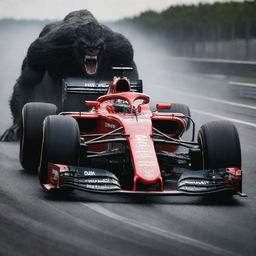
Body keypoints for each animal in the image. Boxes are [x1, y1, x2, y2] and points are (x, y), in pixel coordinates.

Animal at [1, 10, 138, 141]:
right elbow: (27, 82)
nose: (92, 50)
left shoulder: (122, 49)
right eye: (85, 45)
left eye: (98, 46)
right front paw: (16, 126)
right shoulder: (42, 50)